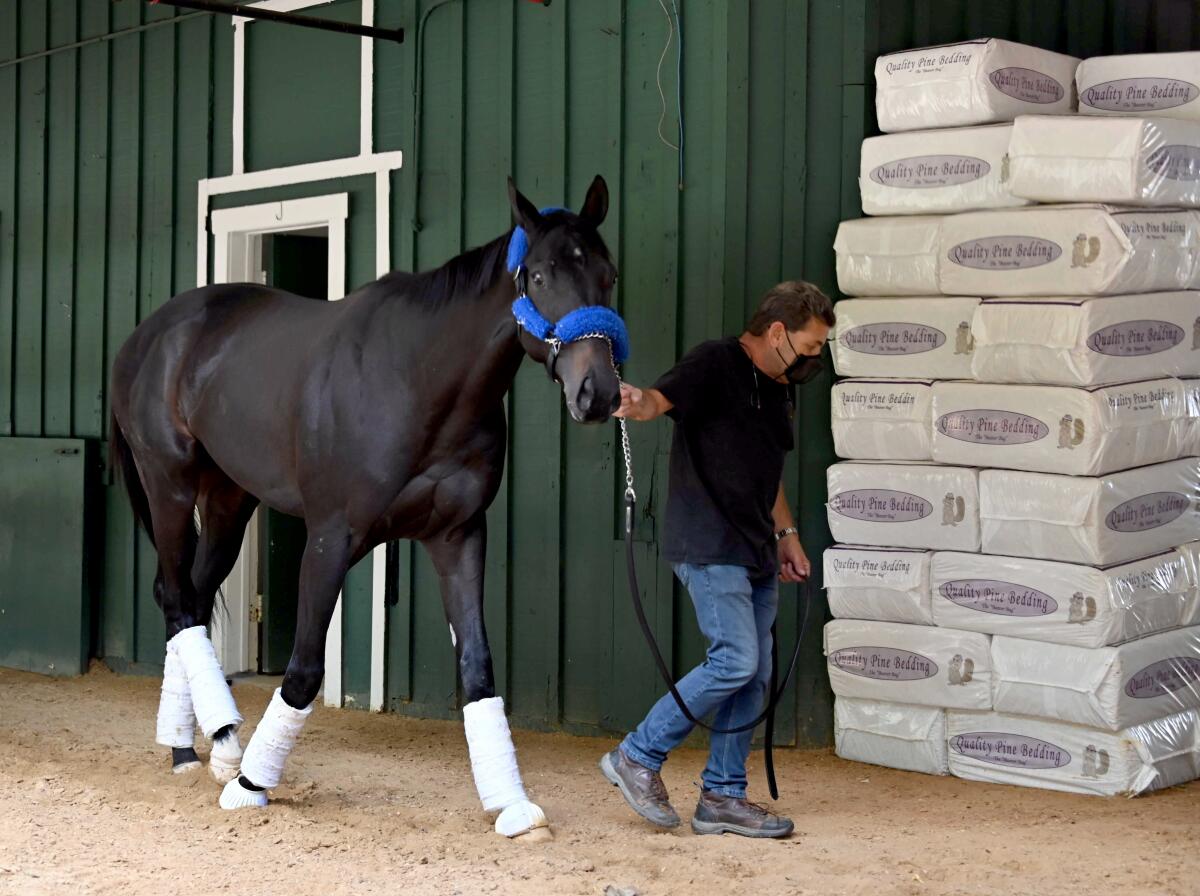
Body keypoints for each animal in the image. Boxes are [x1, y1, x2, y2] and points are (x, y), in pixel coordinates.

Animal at [108, 177, 624, 839]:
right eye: (537, 275)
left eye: (607, 273)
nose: (598, 393)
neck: (416, 378)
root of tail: (149, 334)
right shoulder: (330, 539)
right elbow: (304, 669)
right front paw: (252, 784)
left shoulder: (459, 535)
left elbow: (478, 668)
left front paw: (511, 803)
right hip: (169, 485)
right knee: (175, 599)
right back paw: (213, 748)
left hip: (228, 501)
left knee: (192, 601)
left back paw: (200, 747)